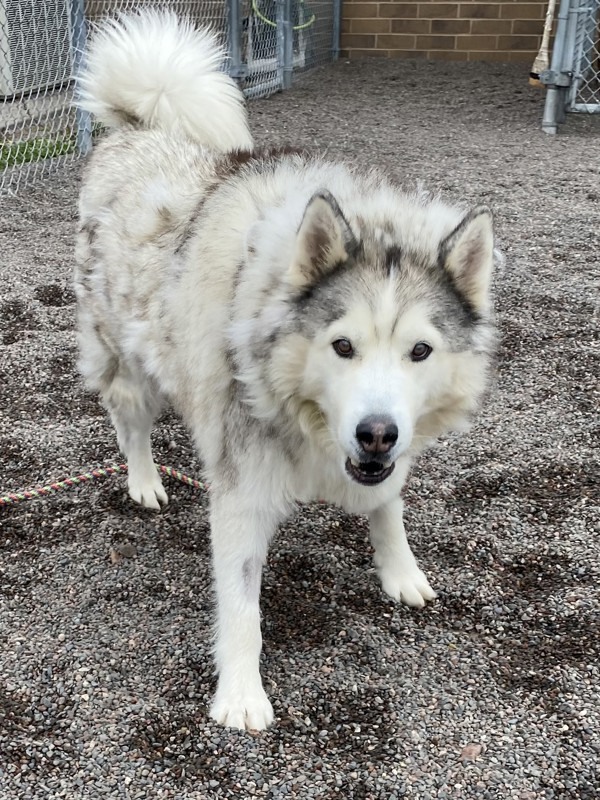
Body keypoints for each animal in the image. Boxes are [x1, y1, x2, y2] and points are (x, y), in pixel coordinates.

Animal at [75, 9, 496, 732]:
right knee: (129, 423)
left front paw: (400, 572)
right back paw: (145, 481)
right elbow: (242, 606)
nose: (377, 433)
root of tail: (136, 130)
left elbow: (388, 504)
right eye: (342, 345)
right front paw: (241, 695)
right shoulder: (241, 493)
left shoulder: (385, 457)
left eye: (420, 352)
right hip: (129, 369)